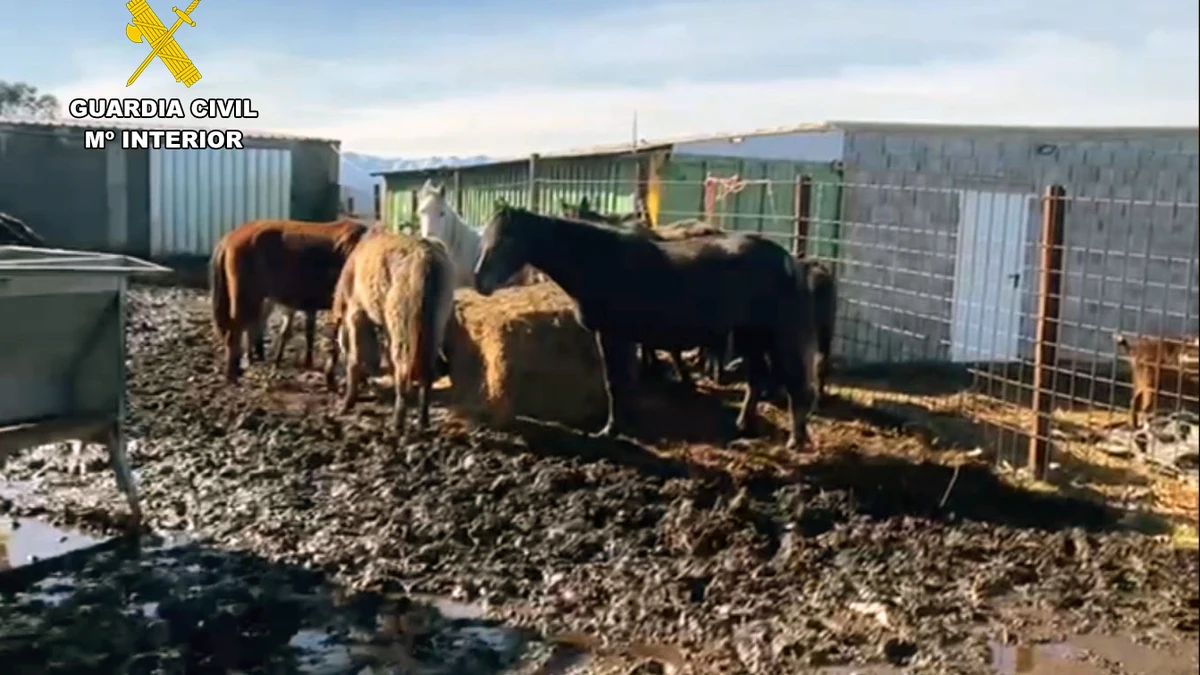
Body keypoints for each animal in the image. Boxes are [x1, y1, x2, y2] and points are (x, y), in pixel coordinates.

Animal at [328, 229, 453, 429]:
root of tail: (426, 258)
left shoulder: (357, 314)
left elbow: (355, 359)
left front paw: (347, 403)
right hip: (436, 323)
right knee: (426, 370)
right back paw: (422, 420)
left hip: (402, 324)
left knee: (403, 369)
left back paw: (397, 421)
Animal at [472, 201, 820, 449]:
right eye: (486, 237)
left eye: (507, 238)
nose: (479, 282)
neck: (599, 260)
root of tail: (788, 258)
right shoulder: (613, 337)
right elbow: (618, 382)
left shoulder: (616, 336)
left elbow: (617, 383)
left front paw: (612, 430)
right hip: (751, 337)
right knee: (758, 379)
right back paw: (743, 426)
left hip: (774, 336)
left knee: (793, 383)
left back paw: (796, 439)